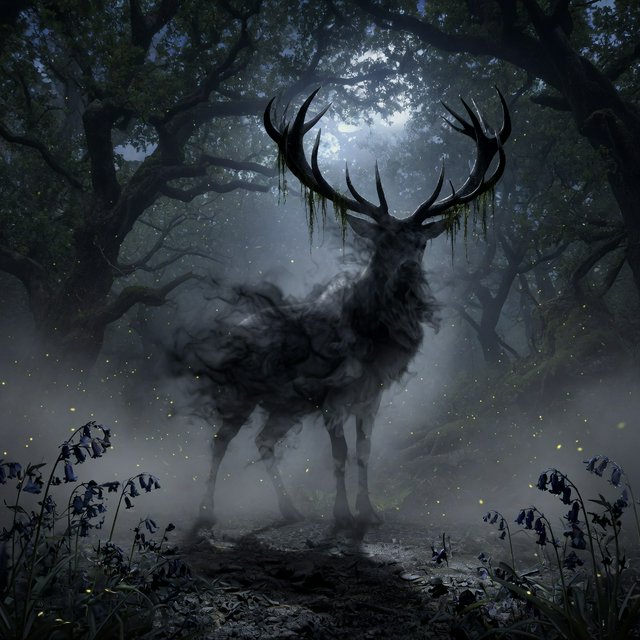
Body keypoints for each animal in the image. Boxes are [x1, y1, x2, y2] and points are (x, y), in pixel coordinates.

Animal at [178, 88, 510, 530]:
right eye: (382, 242)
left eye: (420, 243)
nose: (407, 271)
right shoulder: (333, 393)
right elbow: (339, 454)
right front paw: (341, 515)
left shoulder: (371, 395)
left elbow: (363, 452)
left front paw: (369, 512)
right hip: (241, 390)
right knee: (219, 442)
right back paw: (205, 513)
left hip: (285, 404)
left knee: (263, 440)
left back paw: (290, 509)